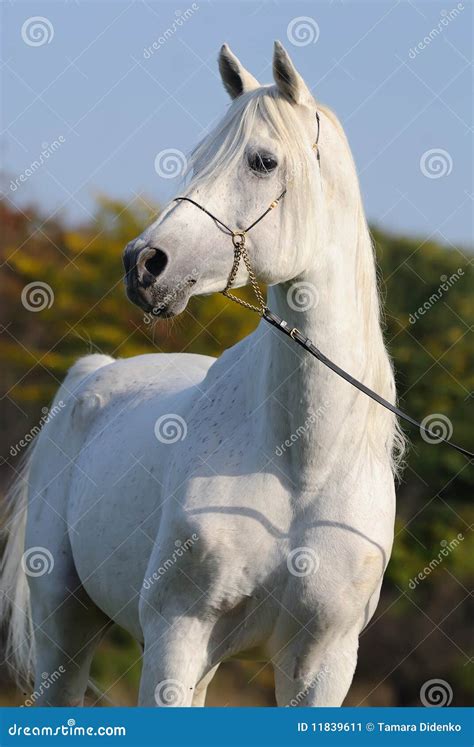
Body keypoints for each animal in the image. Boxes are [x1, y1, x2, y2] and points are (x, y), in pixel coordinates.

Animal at [1, 43, 406, 712]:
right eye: (195, 157)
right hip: (64, 623)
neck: (301, 463)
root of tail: (92, 377)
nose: (143, 264)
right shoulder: (178, 632)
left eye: (263, 161)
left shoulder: (322, 663)